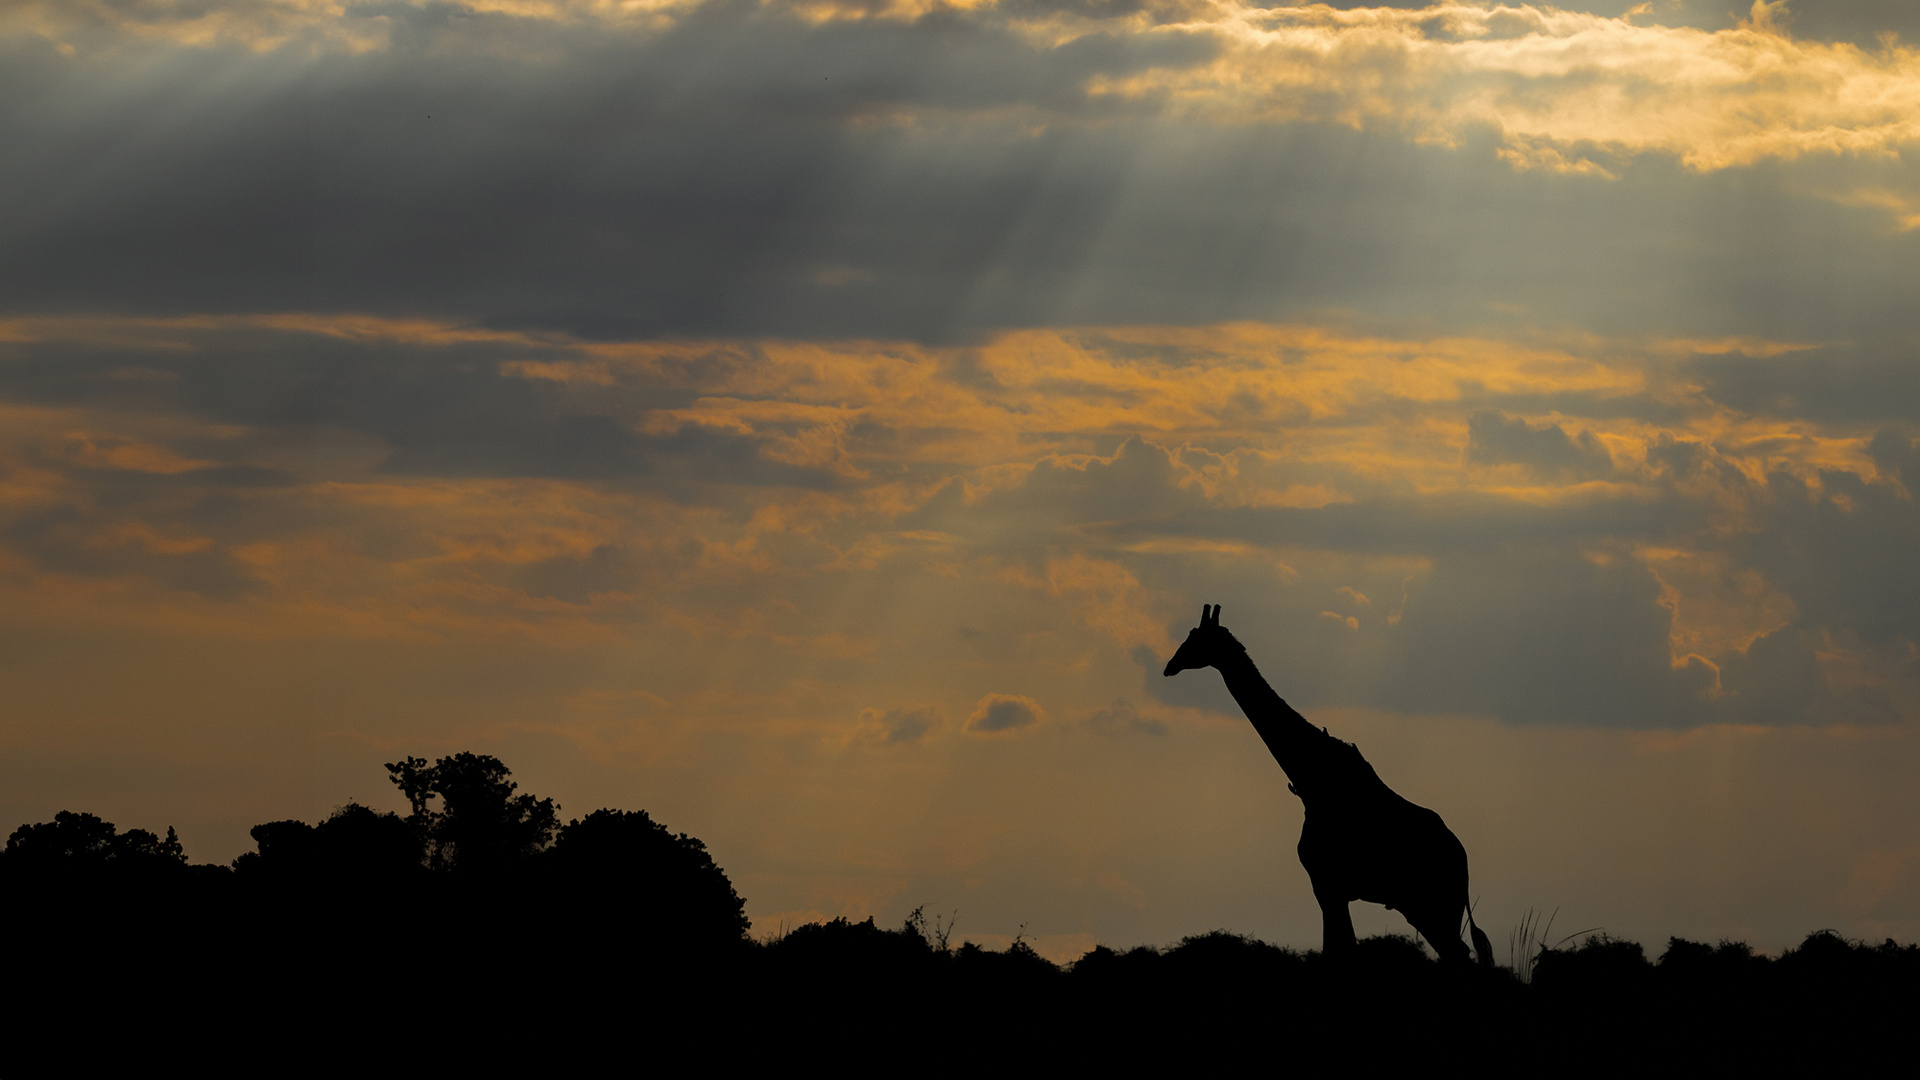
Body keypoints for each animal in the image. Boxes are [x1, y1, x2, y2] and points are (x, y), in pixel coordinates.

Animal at [1159, 599, 1489, 960]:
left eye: (1198, 639)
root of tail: (1462, 860)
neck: (1313, 778)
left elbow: (1337, 949)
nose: (1169, 666)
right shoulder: (1331, 888)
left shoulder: (1326, 883)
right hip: (1425, 908)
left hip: (1432, 905)